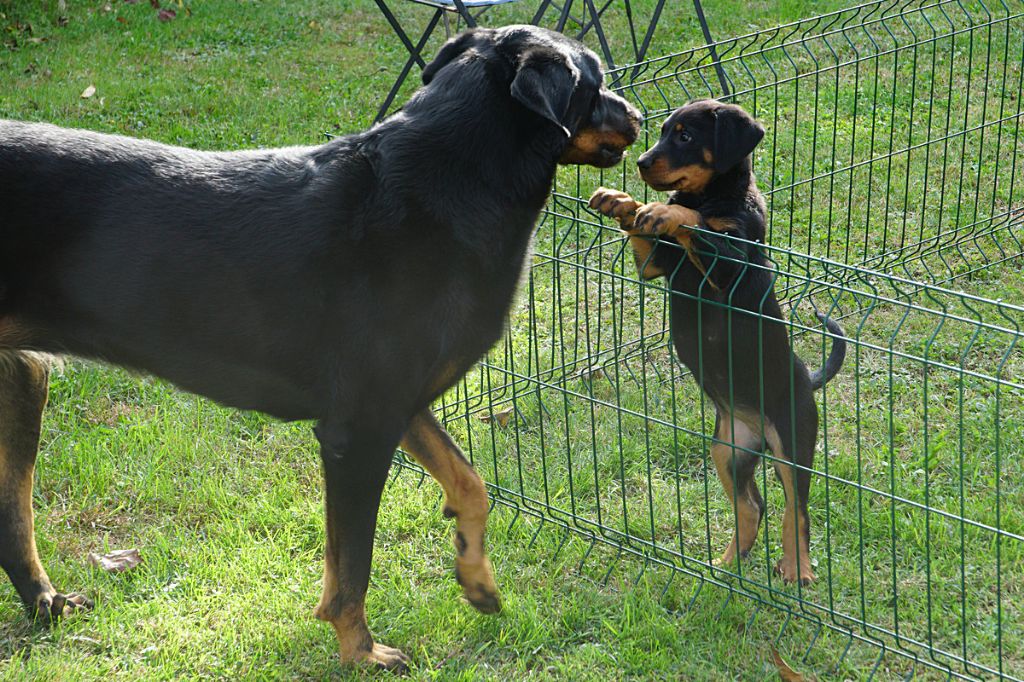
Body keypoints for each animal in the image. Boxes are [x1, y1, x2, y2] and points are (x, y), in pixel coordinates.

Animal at [589, 99, 843, 585]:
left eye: (686, 136)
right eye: (663, 131)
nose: (642, 162)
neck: (710, 196)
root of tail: (807, 377)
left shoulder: (730, 264)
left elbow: (700, 225)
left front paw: (666, 212)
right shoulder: (655, 265)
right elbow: (645, 231)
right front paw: (622, 202)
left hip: (792, 442)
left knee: (796, 510)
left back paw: (796, 568)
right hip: (726, 451)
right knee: (752, 504)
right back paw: (728, 561)